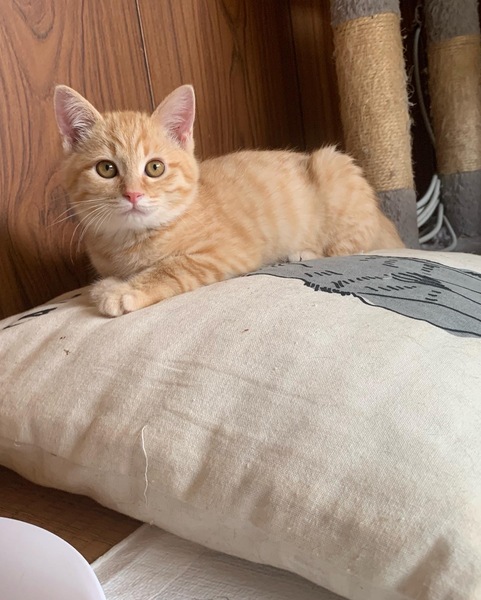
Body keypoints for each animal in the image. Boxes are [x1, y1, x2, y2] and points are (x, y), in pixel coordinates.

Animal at [54, 84, 404, 317]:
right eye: (106, 169)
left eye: (154, 168)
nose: (133, 194)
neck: (132, 239)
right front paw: (111, 283)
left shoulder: (228, 251)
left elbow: (172, 266)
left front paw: (124, 290)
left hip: (332, 166)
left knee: (352, 246)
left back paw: (305, 252)